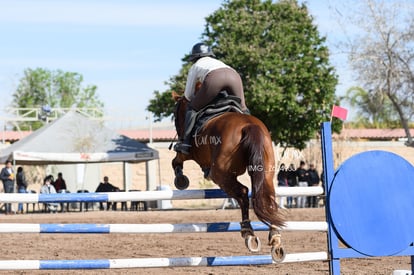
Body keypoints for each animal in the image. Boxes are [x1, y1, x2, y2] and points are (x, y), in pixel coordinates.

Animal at [171, 91, 284, 262]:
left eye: (175, 116)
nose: (178, 133)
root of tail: (248, 126)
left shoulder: (187, 154)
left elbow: (176, 161)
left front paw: (181, 180)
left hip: (221, 174)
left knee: (243, 193)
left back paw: (248, 232)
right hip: (265, 171)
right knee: (267, 197)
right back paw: (275, 238)